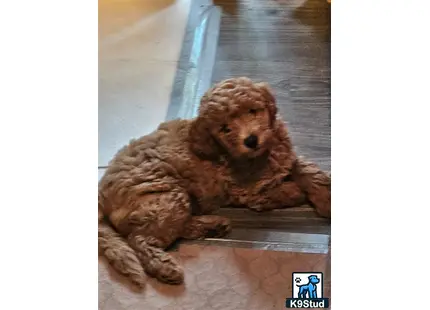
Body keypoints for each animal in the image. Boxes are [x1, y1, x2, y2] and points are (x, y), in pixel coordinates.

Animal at [99, 76, 330, 286]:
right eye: (225, 128)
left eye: (252, 111)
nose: (251, 140)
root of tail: (101, 191)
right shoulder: (246, 190)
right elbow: (278, 190)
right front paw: (295, 190)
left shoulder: (285, 156)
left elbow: (307, 169)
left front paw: (325, 197)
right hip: (165, 196)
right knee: (141, 239)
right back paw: (166, 267)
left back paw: (213, 225)